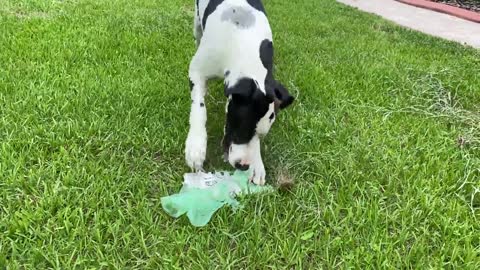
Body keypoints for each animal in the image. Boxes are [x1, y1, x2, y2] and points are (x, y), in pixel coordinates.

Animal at [186, 0, 294, 185]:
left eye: (260, 136)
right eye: (241, 130)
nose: (244, 166)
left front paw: (257, 165)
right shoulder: (196, 73)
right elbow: (199, 110)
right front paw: (196, 146)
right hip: (197, 24)